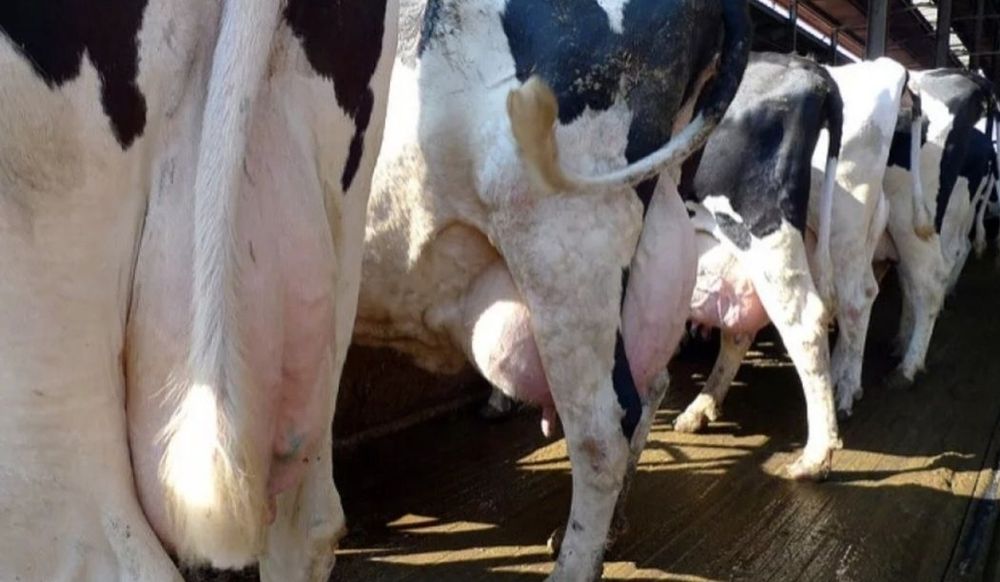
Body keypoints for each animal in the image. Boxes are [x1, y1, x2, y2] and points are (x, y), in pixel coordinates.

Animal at [672, 52, 844, 479]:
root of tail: (808, 67)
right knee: (740, 328)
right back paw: (701, 407)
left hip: (763, 228)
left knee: (804, 323)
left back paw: (815, 457)